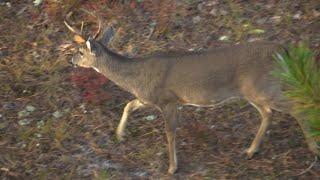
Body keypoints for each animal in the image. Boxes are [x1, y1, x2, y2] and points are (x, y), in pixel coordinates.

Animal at [64, 13, 318, 174]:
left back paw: (313, 148)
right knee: (269, 113)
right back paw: (250, 151)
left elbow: (169, 133)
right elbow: (128, 105)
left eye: (80, 51)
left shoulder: (168, 100)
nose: (71, 60)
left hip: (263, 86)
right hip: (254, 91)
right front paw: (119, 135)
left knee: (298, 107)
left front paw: (172, 168)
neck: (135, 77)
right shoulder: (148, 98)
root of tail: (282, 49)